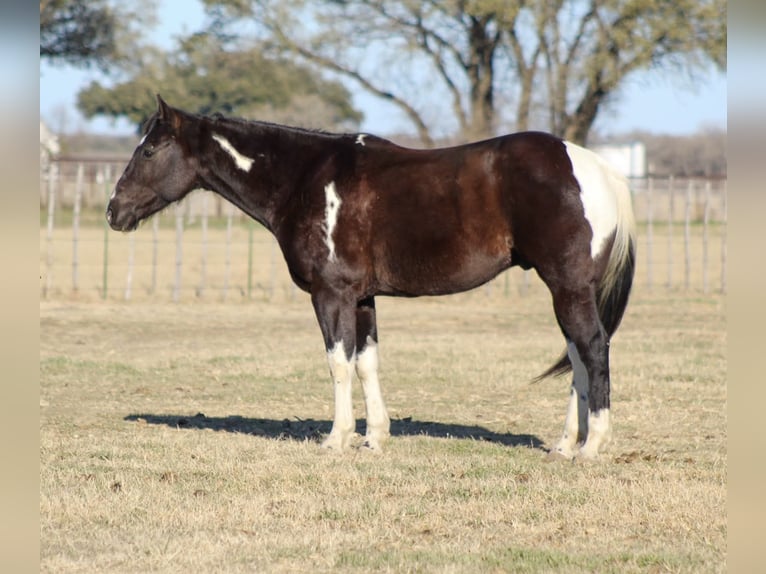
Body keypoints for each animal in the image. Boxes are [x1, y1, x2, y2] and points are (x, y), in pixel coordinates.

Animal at [106, 97, 636, 462]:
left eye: (149, 150)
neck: (305, 179)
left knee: (593, 349)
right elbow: (366, 363)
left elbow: (338, 364)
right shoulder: (363, 299)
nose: (114, 211)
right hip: (571, 291)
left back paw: (592, 446)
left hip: (567, 288)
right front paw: (374, 437)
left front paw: (336, 438)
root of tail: (595, 167)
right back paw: (565, 444)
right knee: (578, 357)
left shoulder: (331, 295)